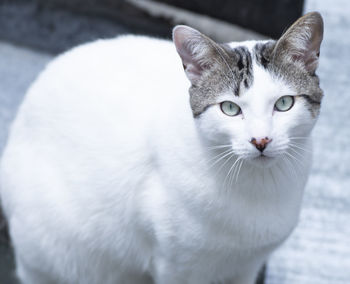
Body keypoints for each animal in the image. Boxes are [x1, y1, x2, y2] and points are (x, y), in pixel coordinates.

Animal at [0, 11, 322, 284]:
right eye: (230, 108)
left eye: (284, 103)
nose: (261, 140)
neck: (260, 187)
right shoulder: (177, 266)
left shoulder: (246, 268)